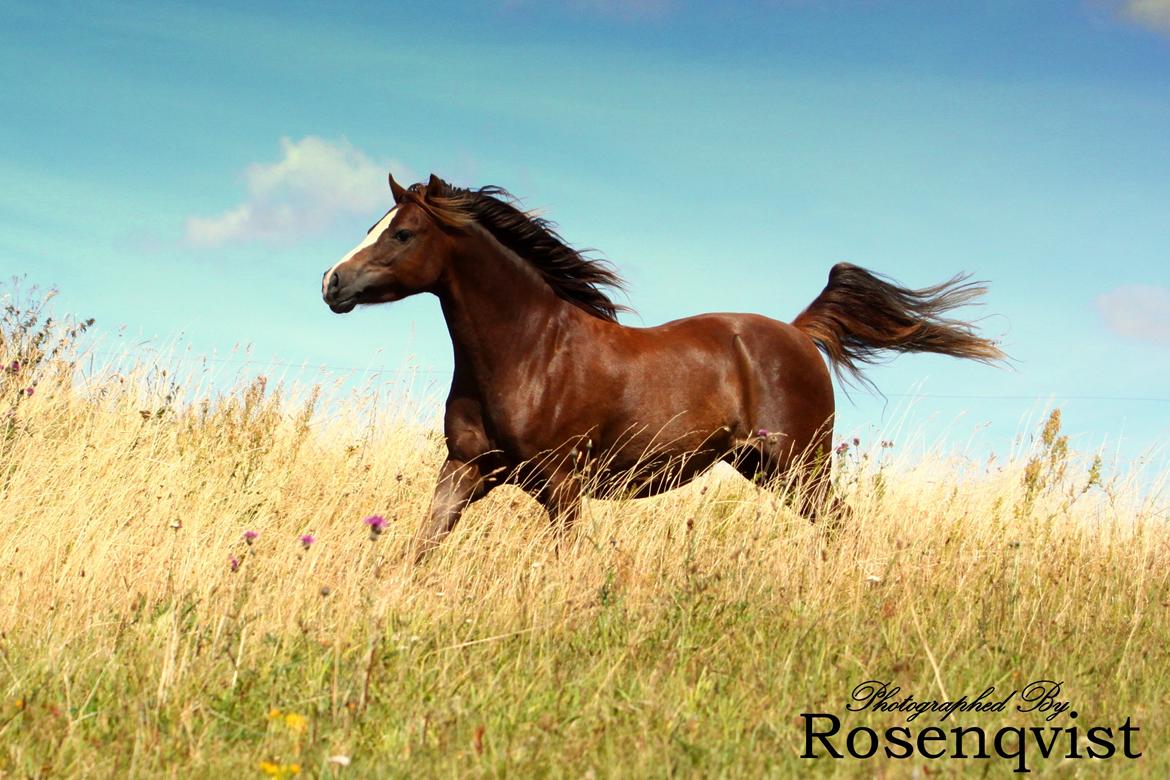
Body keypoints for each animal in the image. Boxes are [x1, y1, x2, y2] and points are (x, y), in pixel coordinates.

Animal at [322, 173, 1003, 559]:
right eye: (373, 225)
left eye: (403, 234)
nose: (331, 283)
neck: (529, 352)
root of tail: (798, 332)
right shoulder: (465, 470)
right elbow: (420, 547)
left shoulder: (562, 486)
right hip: (763, 469)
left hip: (802, 466)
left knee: (842, 527)